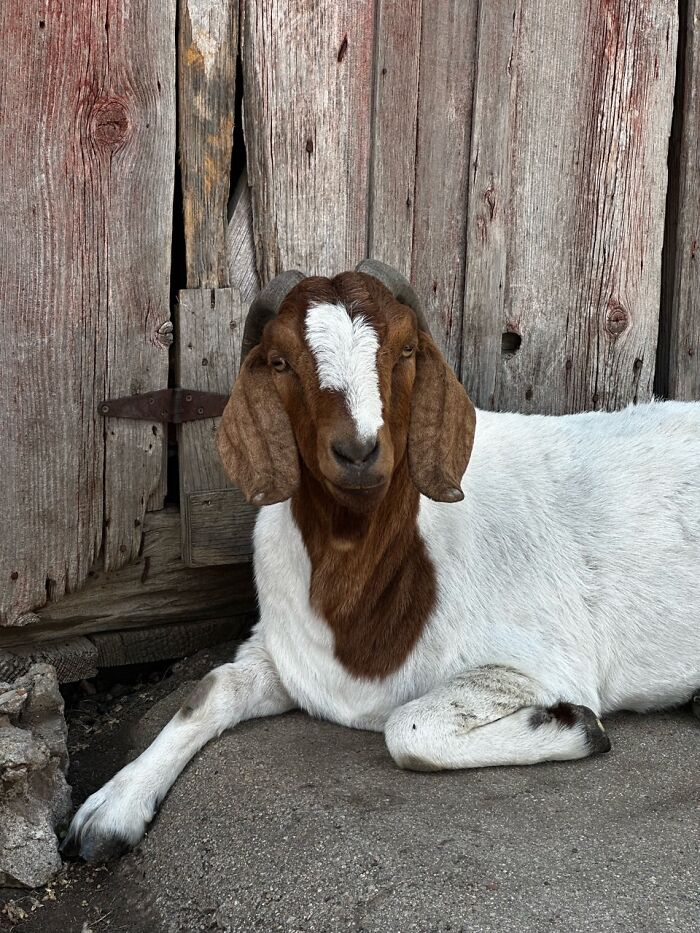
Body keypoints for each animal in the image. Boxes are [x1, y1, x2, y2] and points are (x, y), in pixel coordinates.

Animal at [63, 260, 700, 863]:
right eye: (279, 361)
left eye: (406, 349)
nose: (359, 451)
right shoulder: (288, 654)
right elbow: (209, 690)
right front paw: (109, 811)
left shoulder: (537, 663)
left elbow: (407, 728)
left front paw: (571, 726)